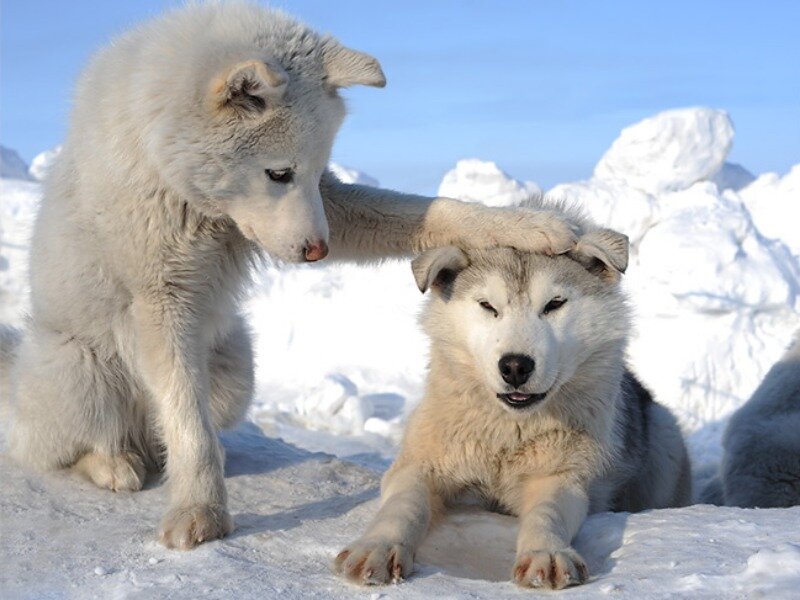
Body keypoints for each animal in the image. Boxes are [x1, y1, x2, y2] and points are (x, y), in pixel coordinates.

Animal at [0, 3, 576, 550]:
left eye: (318, 172)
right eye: (279, 173)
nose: (318, 251)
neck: (174, 174)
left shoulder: (330, 209)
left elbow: (434, 211)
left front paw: (530, 225)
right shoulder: (161, 298)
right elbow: (186, 421)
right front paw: (199, 511)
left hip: (234, 371)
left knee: (173, 431)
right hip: (81, 369)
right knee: (66, 446)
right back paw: (113, 464)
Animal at [335, 227, 691, 589]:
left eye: (554, 304)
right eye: (487, 306)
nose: (516, 366)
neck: (508, 433)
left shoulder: (561, 477)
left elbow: (547, 513)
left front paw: (545, 554)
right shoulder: (419, 465)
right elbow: (402, 505)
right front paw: (378, 547)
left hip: (664, 438)